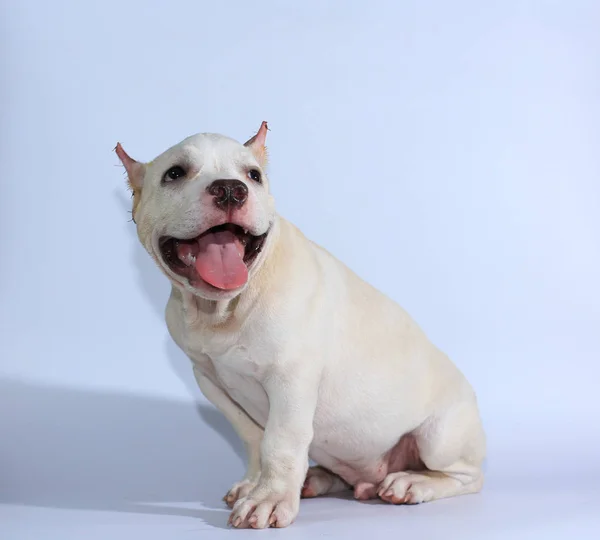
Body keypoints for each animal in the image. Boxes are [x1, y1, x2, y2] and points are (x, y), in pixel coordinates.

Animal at [117, 121, 488, 528]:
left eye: (254, 176)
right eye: (175, 174)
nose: (231, 189)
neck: (224, 310)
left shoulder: (290, 380)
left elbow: (281, 441)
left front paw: (270, 499)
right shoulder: (211, 380)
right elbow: (253, 437)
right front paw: (254, 484)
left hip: (440, 437)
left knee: (466, 476)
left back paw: (414, 482)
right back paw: (317, 478)